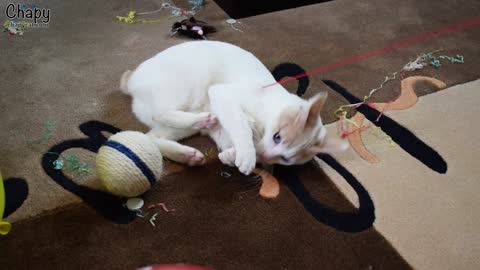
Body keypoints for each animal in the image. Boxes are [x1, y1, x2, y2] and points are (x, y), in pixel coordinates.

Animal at [119, 40, 344, 175]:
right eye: (277, 137)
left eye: (285, 159)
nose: (266, 156)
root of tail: (132, 77)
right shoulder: (223, 95)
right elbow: (241, 127)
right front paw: (247, 154)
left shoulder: (221, 127)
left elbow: (230, 137)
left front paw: (231, 155)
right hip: (182, 90)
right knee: (160, 115)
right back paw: (199, 122)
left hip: (180, 126)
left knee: (151, 137)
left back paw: (188, 155)